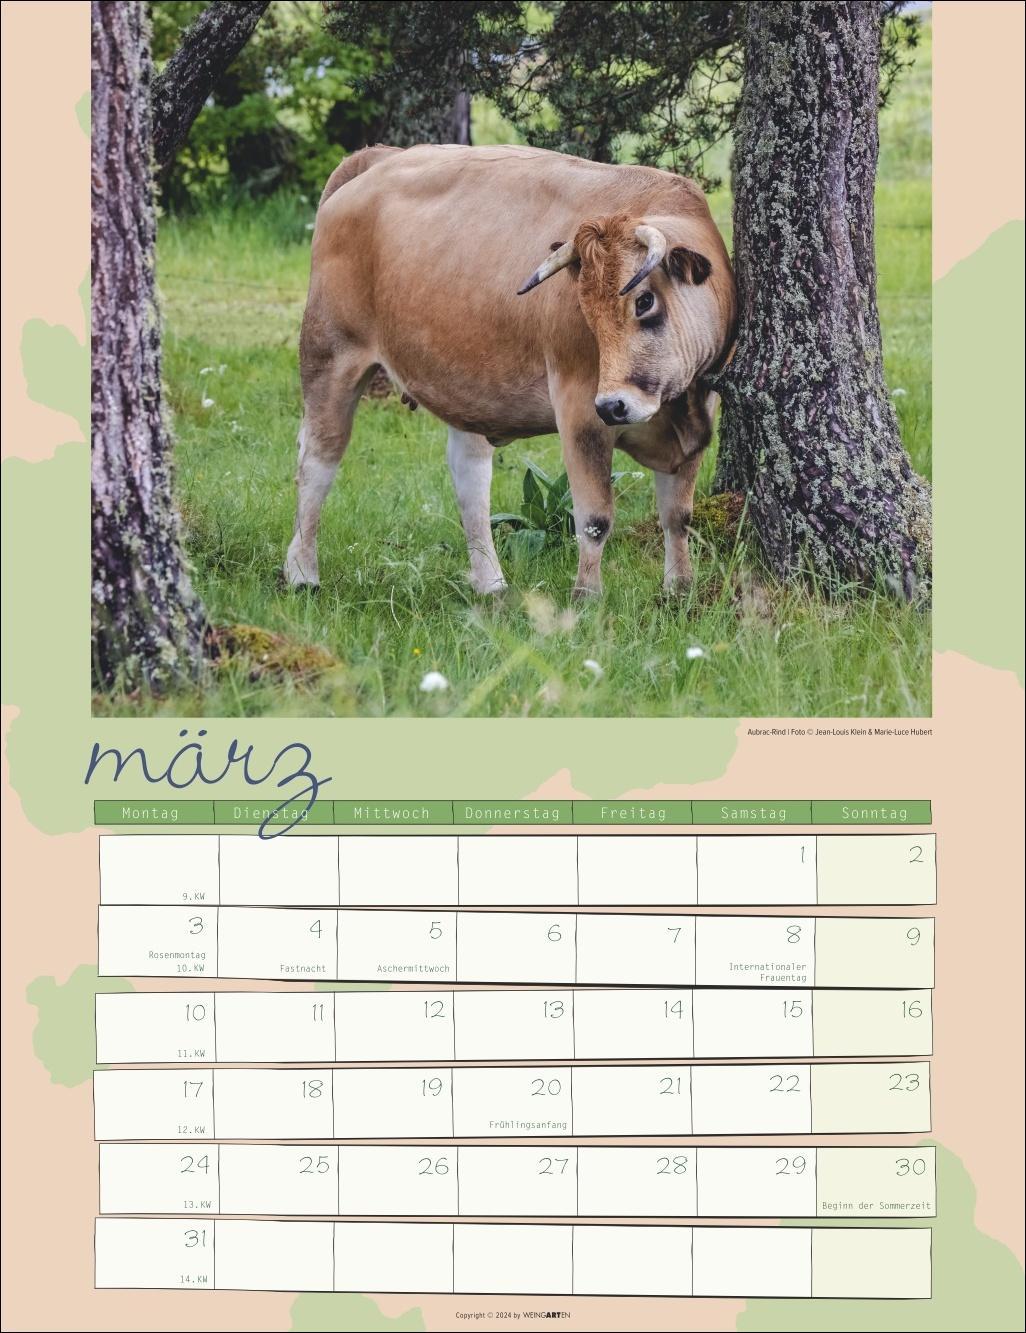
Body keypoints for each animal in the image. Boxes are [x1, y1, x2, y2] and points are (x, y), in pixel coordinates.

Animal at [286, 143, 736, 599]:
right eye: (586, 314)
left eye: (644, 301)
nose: (614, 406)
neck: (677, 408)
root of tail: (378, 158)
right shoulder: (579, 410)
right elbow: (594, 519)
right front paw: (587, 597)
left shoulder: (698, 415)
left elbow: (678, 515)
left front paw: (680, 590)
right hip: (330, 354)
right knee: (317, 461)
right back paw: (302, 573)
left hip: (463, 385)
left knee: (469, 477)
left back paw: (491, 584)